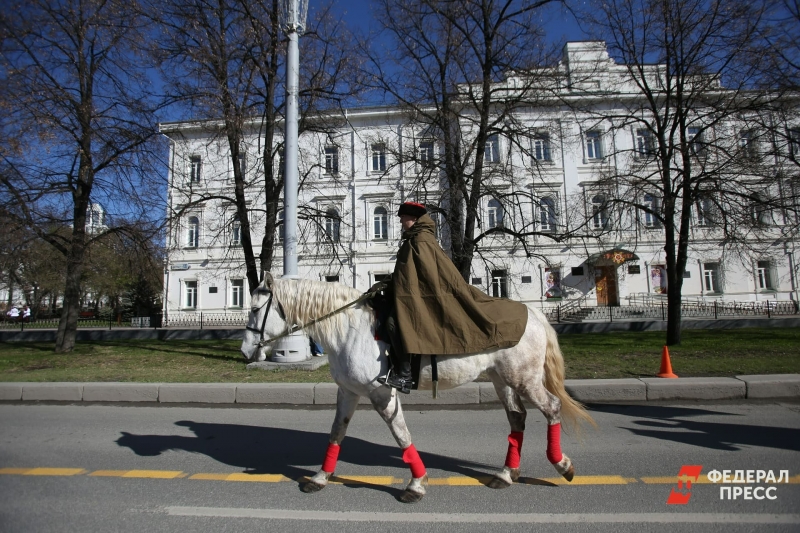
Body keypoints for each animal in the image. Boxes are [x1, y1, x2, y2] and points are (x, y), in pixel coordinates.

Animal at [240, 273, 594, 503]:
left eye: (255, 309)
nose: (245, 352)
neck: (349, 330)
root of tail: (533, 313)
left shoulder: (382, 394)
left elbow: (401, 434)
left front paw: (416, 483)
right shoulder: (349, 392)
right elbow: (336, 432)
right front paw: (319, 478)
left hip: (524, 379)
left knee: (551, 407)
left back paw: (562, 465)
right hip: (501, 379)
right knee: (517, 418)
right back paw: (506, 474)